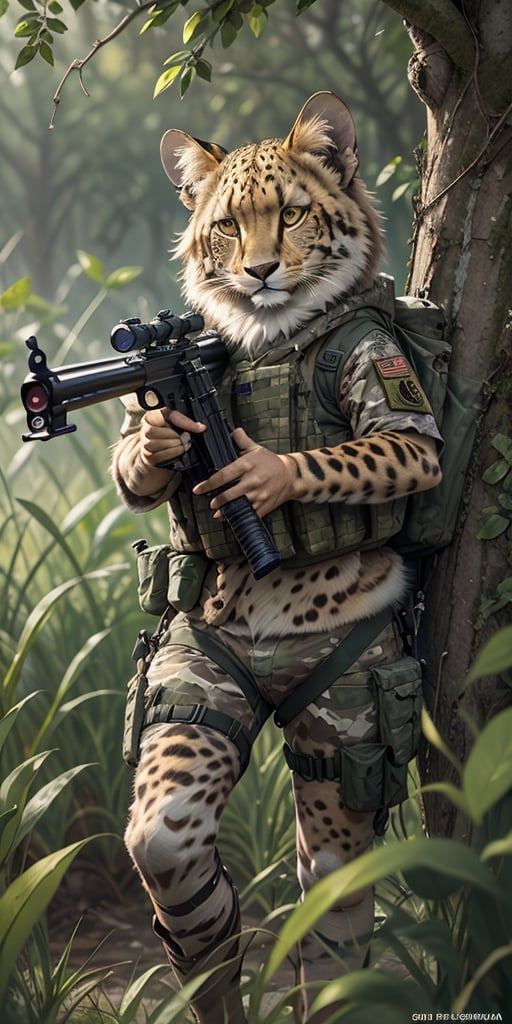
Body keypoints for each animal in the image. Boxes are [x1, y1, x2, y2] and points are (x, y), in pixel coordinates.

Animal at [113, 92, 442, 1024]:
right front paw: (156, 448)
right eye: (226, 226)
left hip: (350, 725)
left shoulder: (378, 370)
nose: (259, 272)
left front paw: (260, 476)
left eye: (292, 215)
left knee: (333, 877)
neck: (257, 340)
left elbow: (401, 451)